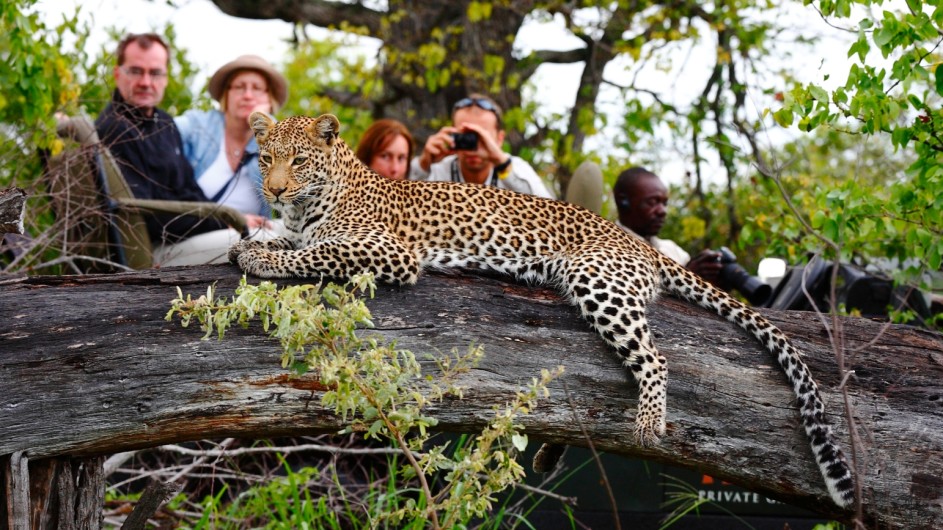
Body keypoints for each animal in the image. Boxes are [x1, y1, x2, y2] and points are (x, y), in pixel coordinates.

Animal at [229, 112, 856, 508]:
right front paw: (249, 243)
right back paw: (557, 451)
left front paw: (261, 259)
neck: (312, 203)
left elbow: (316, 252)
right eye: (267, 159)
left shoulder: (389, 252)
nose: (275, 190)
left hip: (598, 281)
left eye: (299, 161)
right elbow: (290, 241)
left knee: (654, 359)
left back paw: (648, 423)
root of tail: (641, 242)